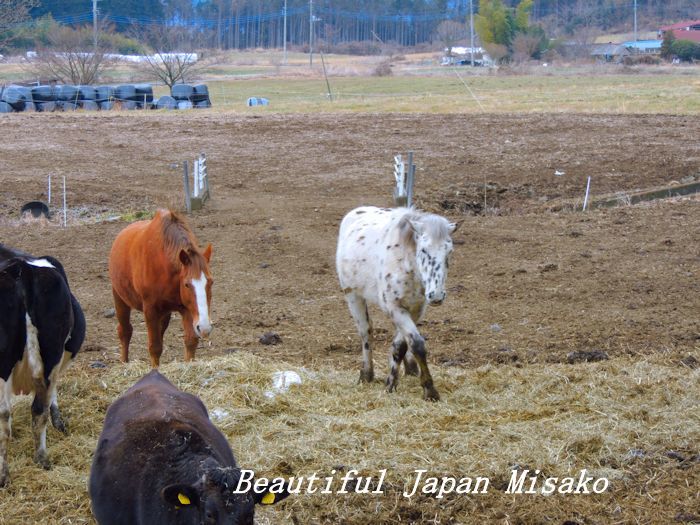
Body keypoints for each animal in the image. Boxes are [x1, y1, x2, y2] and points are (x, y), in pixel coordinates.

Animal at [109, 207, 212, 366]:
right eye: (187, 285)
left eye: (211, 282)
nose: (205, 327)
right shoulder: (150, 310)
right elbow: (155, 347)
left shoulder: (187, 309)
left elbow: (190, 342)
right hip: (120, 299)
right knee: (125, 331)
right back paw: (124, 362)